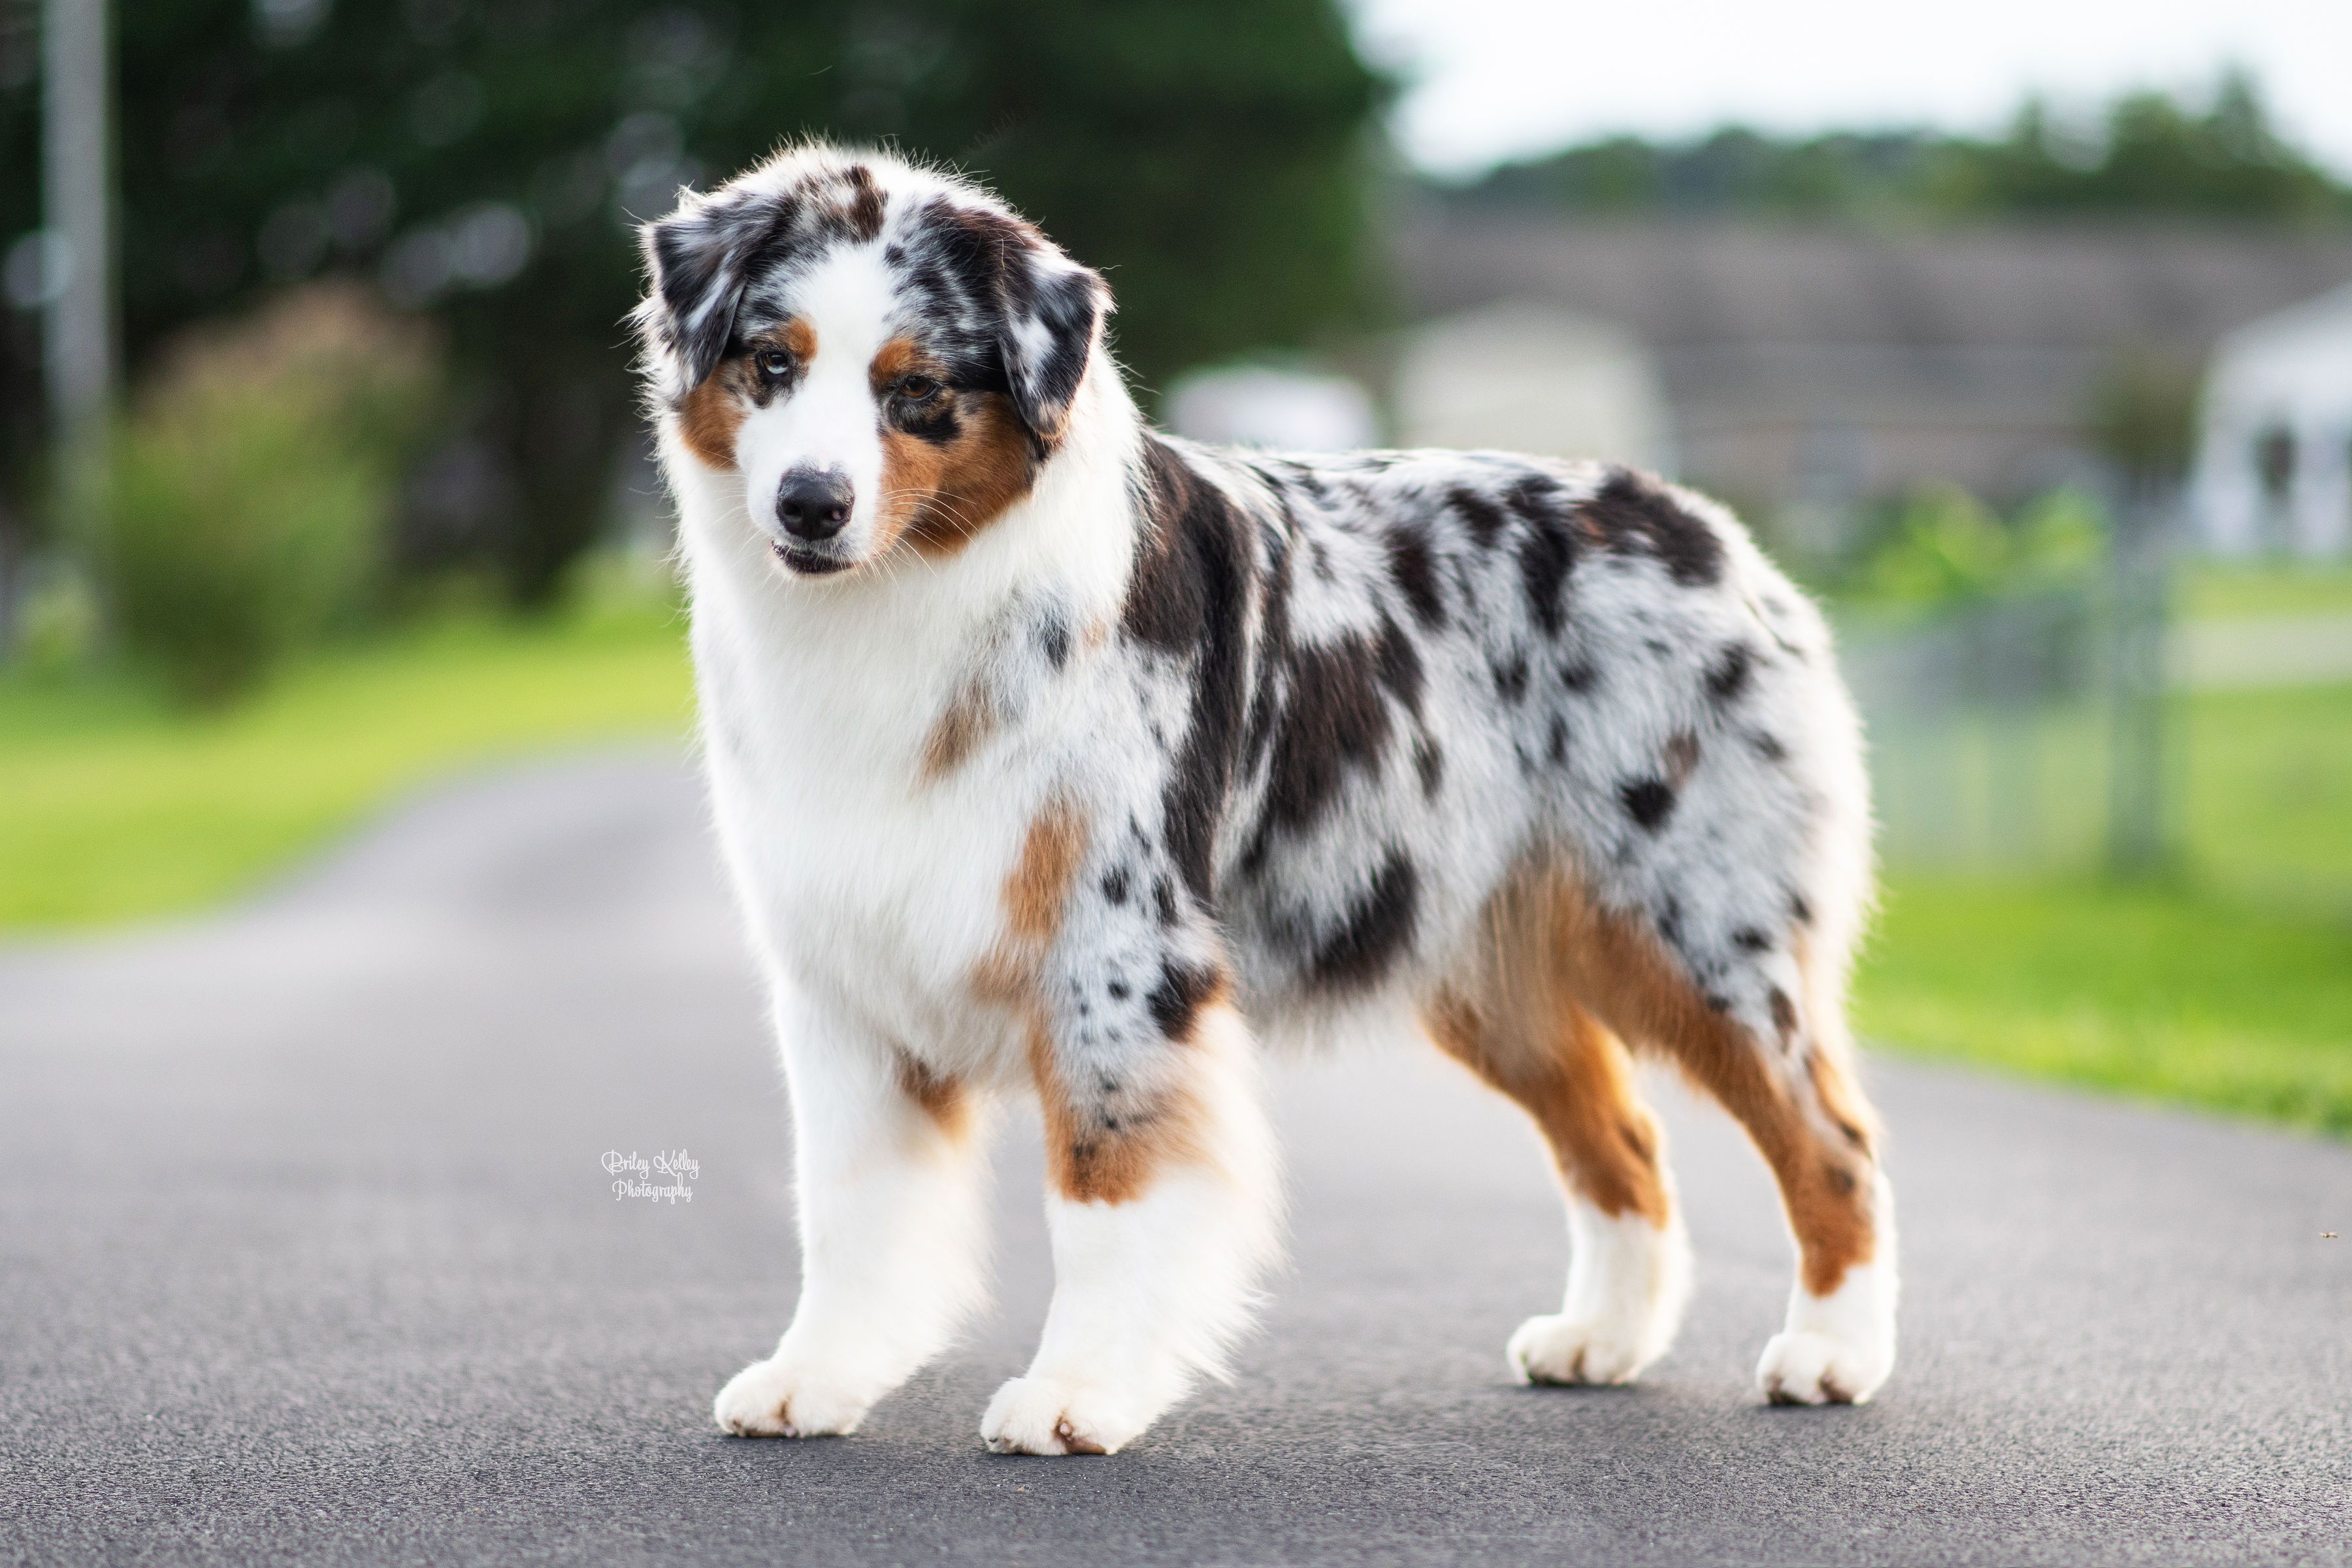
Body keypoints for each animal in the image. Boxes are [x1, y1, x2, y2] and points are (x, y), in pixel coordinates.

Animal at [630, 140, 1891, 1457]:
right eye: (772, 363)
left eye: (915, 388)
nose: (809, 503)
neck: (904, 603)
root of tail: (1700, 525)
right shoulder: (844, 968)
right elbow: (849, 1208)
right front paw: (817, 1377)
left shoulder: (1118, 952)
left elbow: (1103, 1191)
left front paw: (1077, 1392)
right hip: (1490, 969)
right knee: (1627, 1141)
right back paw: (1603, 1338)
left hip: (1702, 930)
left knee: (1834, 1141)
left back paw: (1831, 1354)